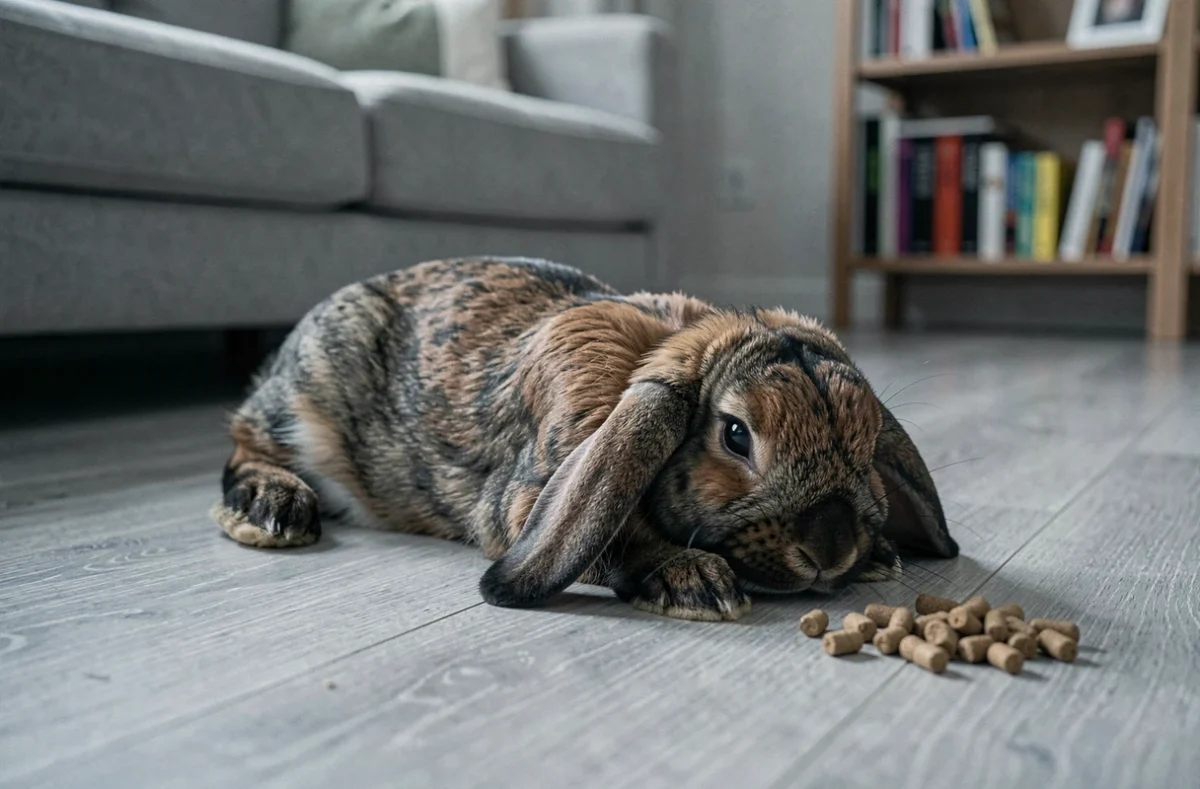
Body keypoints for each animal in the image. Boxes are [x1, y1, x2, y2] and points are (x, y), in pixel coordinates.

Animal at [212, 257, 957, 621]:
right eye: (736, 435)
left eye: (867, 445)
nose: (830, 553)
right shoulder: (523, 502)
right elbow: (609, 542)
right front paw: (689, 581)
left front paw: (881, 556)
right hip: (306, 401)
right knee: (243, 440)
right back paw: (271, 509)